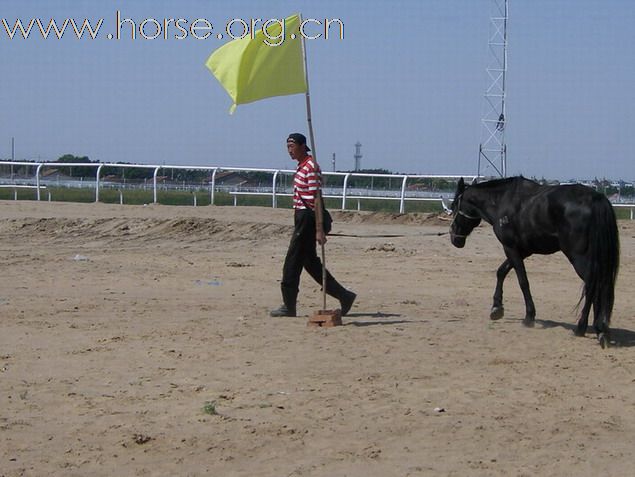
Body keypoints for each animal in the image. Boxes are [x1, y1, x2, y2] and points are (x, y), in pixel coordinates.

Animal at [452, 175, 620, 346]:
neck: (502, 201)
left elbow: (523, 281)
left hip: (579, 258)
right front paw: (497, 308)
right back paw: (600, 329)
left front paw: (529, 316)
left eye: (454, 207)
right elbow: (501, 272)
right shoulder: (523, 250)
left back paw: (583, 327)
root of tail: (595, 198)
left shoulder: (510, 248)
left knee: (592, 286)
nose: (454, 238)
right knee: (600, 286)